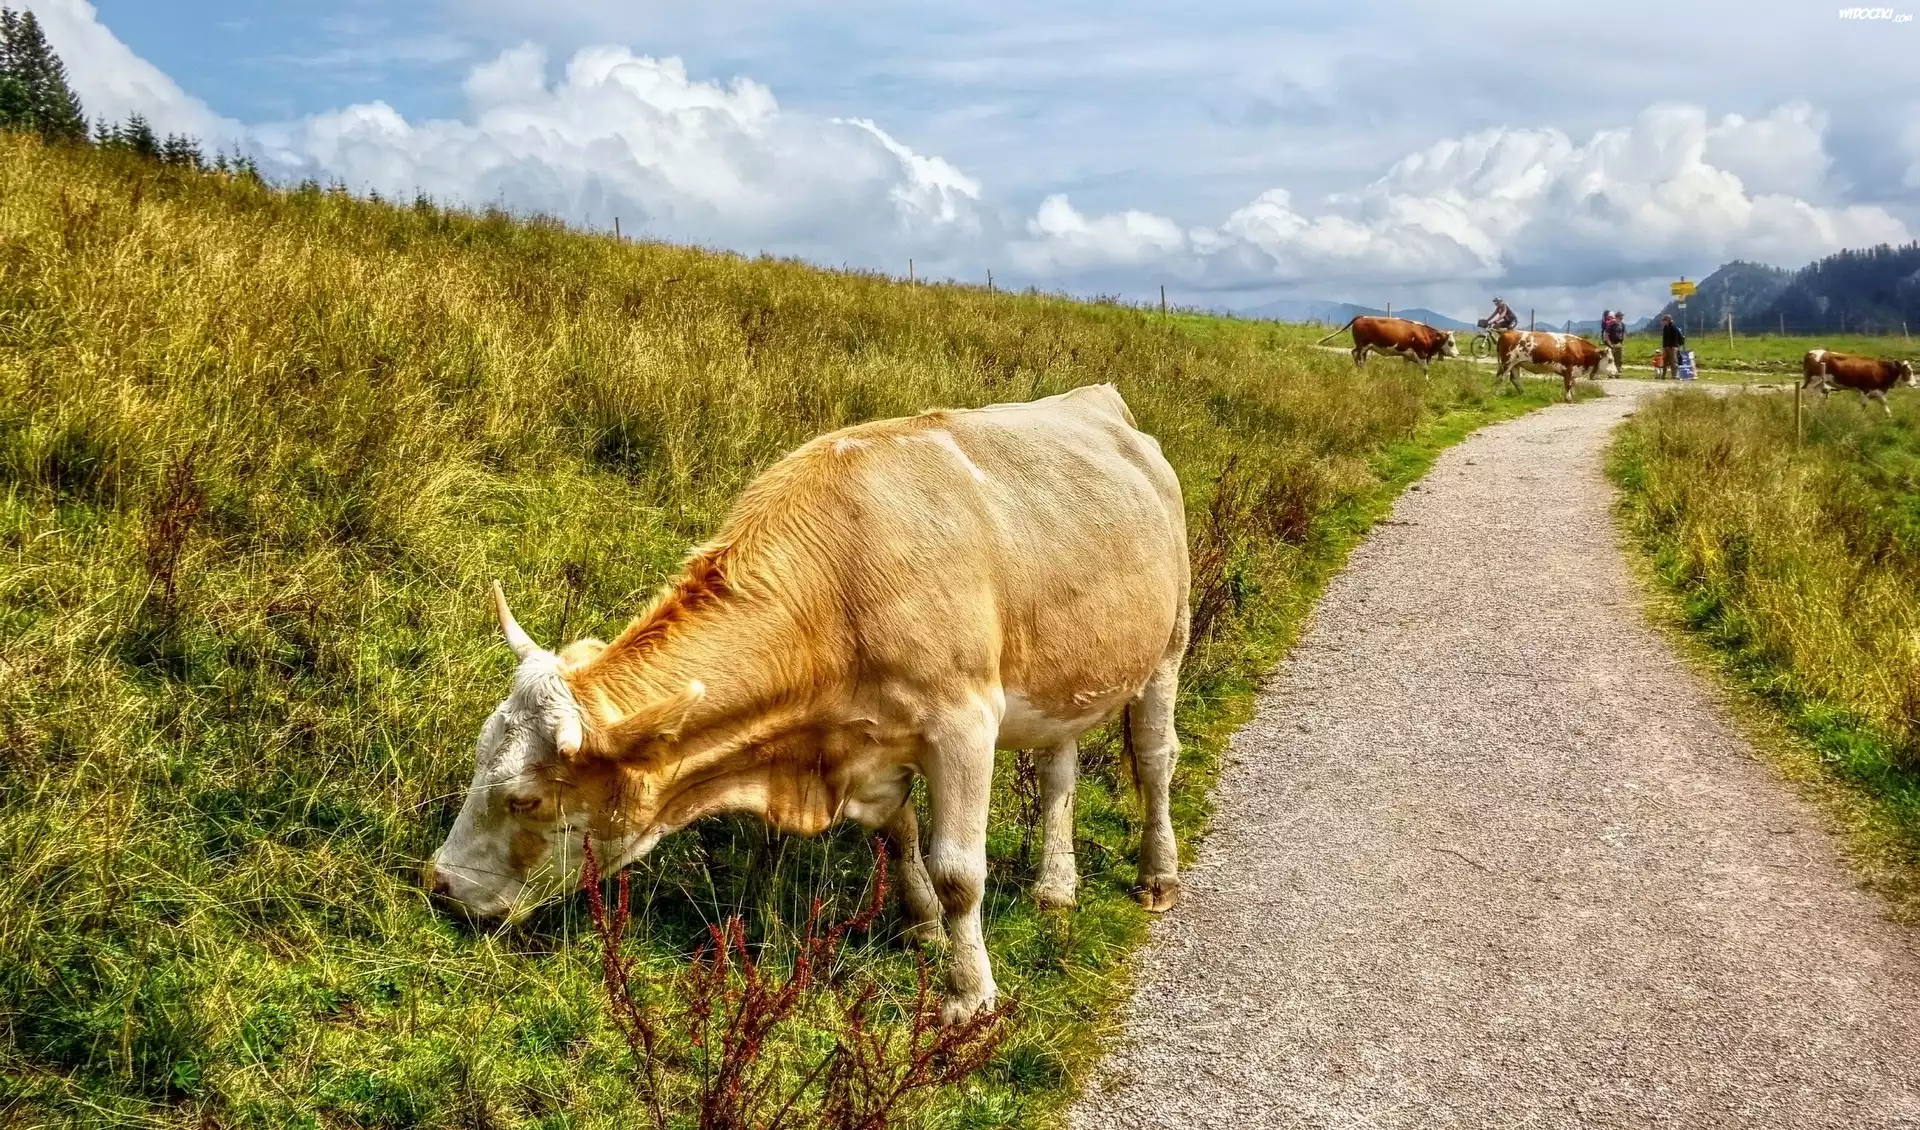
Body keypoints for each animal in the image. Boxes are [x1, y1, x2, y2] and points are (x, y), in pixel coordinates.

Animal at [424, 384, 1190, 1024]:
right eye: (478, 756)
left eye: (526, 798)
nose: (441, 884)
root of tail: (1098, 399)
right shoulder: (866, 744)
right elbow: (898, 834)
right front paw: (920, 927)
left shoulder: (964, 724)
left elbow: (957, 871)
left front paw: (969, 995)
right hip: (1068, 671)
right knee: (1060, 771)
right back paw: (1056, 887)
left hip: (1168, 647)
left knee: (1155, 761)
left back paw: (1157, 874)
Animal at [1318, 315, 1459, 378]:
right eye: (1451, 342)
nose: (1457, 354)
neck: (1424, 334)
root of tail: (1362, 316)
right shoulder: (1421, 354)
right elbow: (1425, 369)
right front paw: (1427, 383)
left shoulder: (1407, 355)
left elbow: (1406, 368)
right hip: (1363, 346)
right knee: (1359, 357)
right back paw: (1363, 372)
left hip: (1364, 346)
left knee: (1354, 353)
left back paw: (1361, 370)